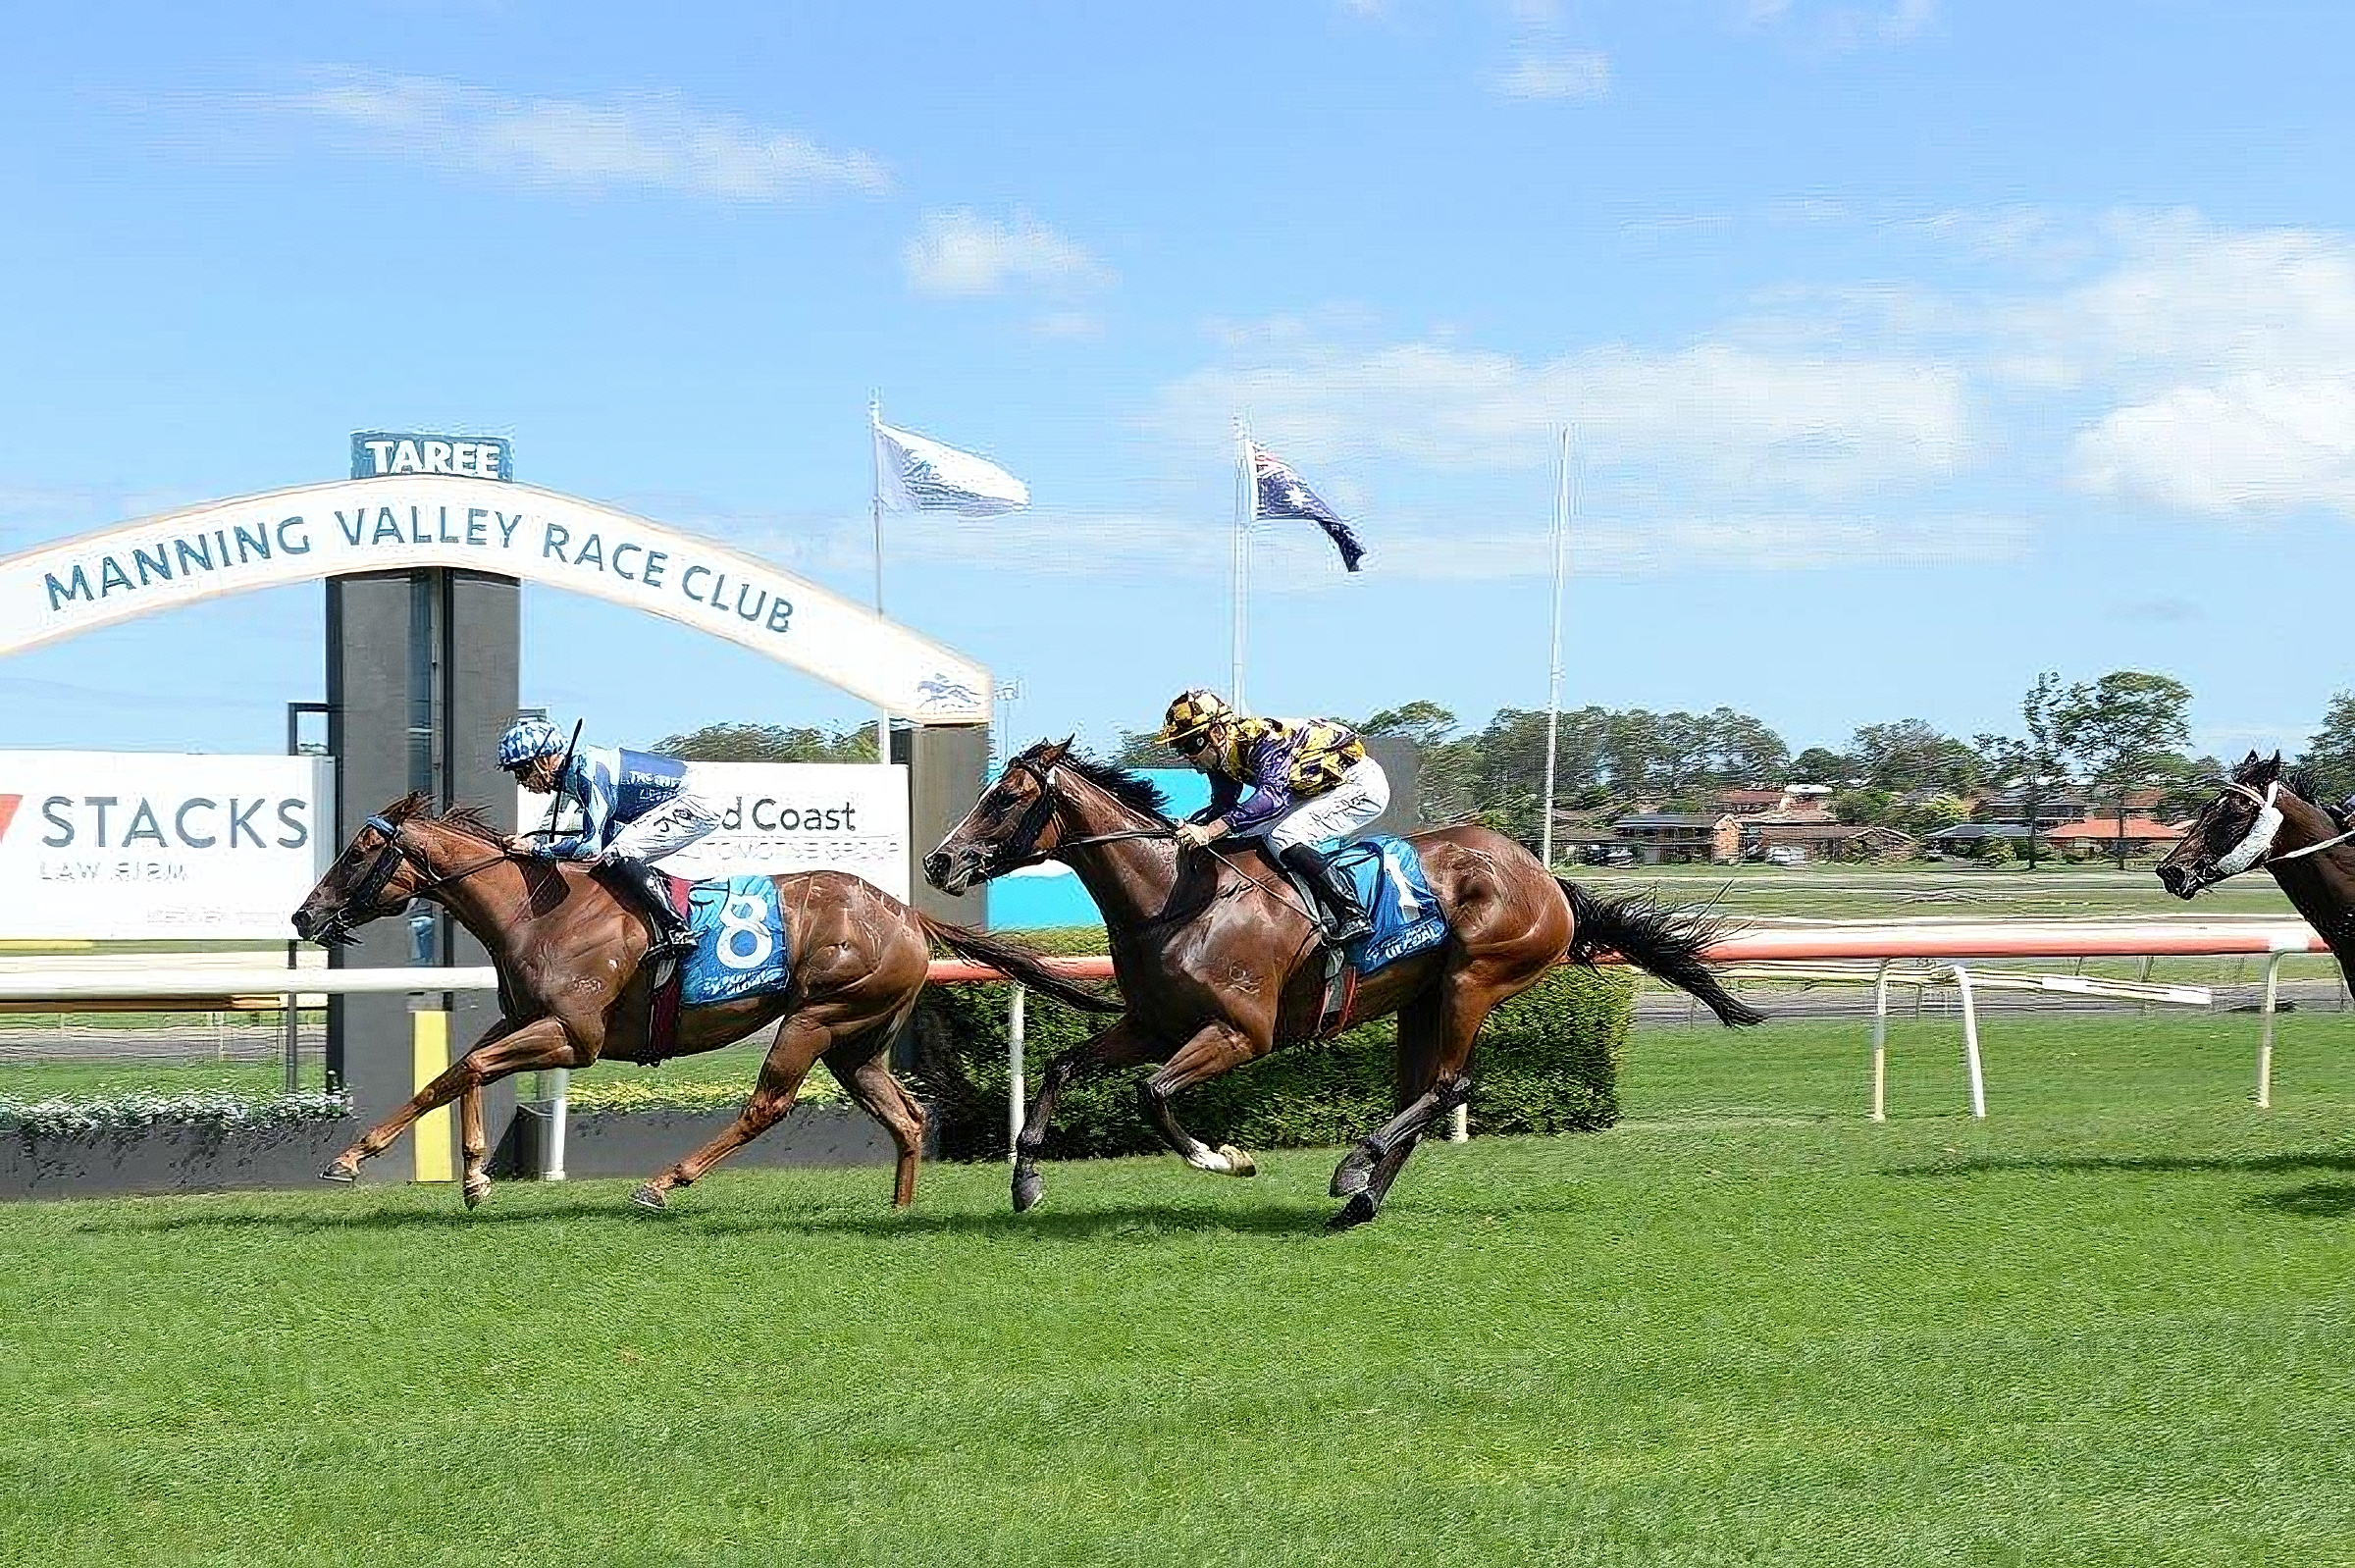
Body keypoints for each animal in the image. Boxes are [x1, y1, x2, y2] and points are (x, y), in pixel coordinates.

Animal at [287, 795, 1121, 1205]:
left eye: (358, 852)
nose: (304, 916)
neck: (537, 907)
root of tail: (909, 915)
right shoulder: (524, 1017)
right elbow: (456, 1072)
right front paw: (437, 1169)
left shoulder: (575, 1036)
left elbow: (468, 1070)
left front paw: (428, 1171)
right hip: (858, 1042)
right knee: (908, 1118)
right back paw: (898, 1210)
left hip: (817, 1016)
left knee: (767, 1106)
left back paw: (664, 1183)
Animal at [922, 739, 1770, 1224]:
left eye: (1006, 797)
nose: (940, 859)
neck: (1178, 896)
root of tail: (1544, 876)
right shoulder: (1153, 1024)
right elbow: (1063, 1066)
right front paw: (1025, 1181)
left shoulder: (1241, 1032)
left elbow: (1152, 1094)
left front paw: (1223, 1157)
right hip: (1422, 1002)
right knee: (1423, 1092)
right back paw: (1360, 1200)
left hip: (1475, 978)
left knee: (1451, 1086)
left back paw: (1353, 1167)